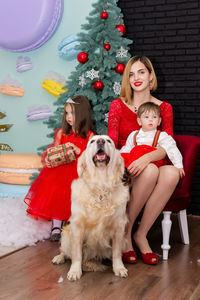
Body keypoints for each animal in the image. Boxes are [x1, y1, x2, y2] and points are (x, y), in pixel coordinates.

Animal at [52, 135, 130, 280]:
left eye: (109, 141)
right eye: (92, 141)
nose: (100, 141)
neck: (101, 185)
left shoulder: (118, 227)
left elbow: (116, 253)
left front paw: (119, 268)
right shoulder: (77, 227)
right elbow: (76, 254)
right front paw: (75, 271)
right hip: (66, 234)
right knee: (65, 251)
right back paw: (59, 258)